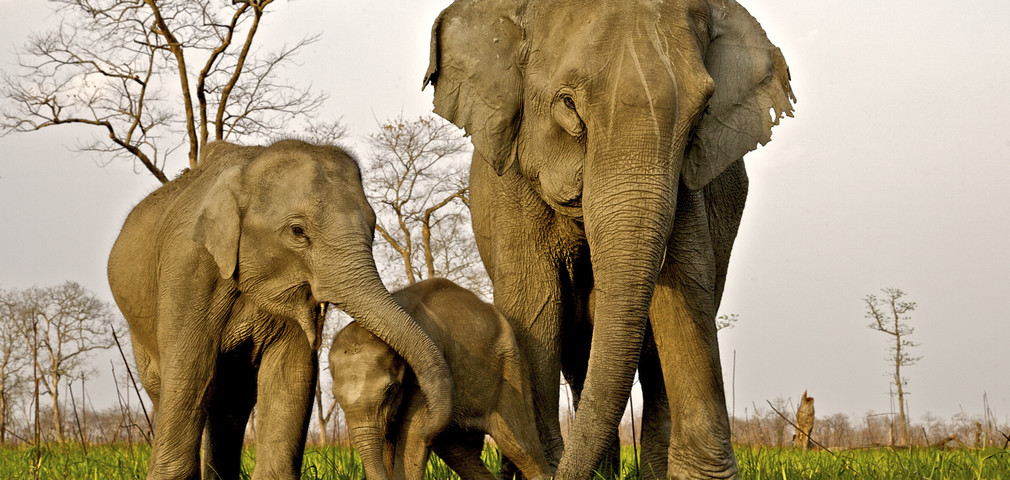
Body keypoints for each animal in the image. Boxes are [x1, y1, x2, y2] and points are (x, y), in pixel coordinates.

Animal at [106, 140, 450, 480]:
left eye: (373, 227)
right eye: (298, 231)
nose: (427, 432)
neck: (247, 170)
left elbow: (291, 370)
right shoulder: (187, 269)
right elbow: (189, 368)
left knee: (232, 402)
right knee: (170, 387)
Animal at [329, 278, 553, 480]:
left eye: (391, 390)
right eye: (336, 398)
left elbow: (412, 432)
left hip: (512, 368)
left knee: (518, 445)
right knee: (458, 452)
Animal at [422, 0, 791, 476]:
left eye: (702, 114)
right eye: (568, 105)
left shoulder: (688, 184)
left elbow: (685, 287)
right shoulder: (511, 177)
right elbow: (535, 304)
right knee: (579, 352)